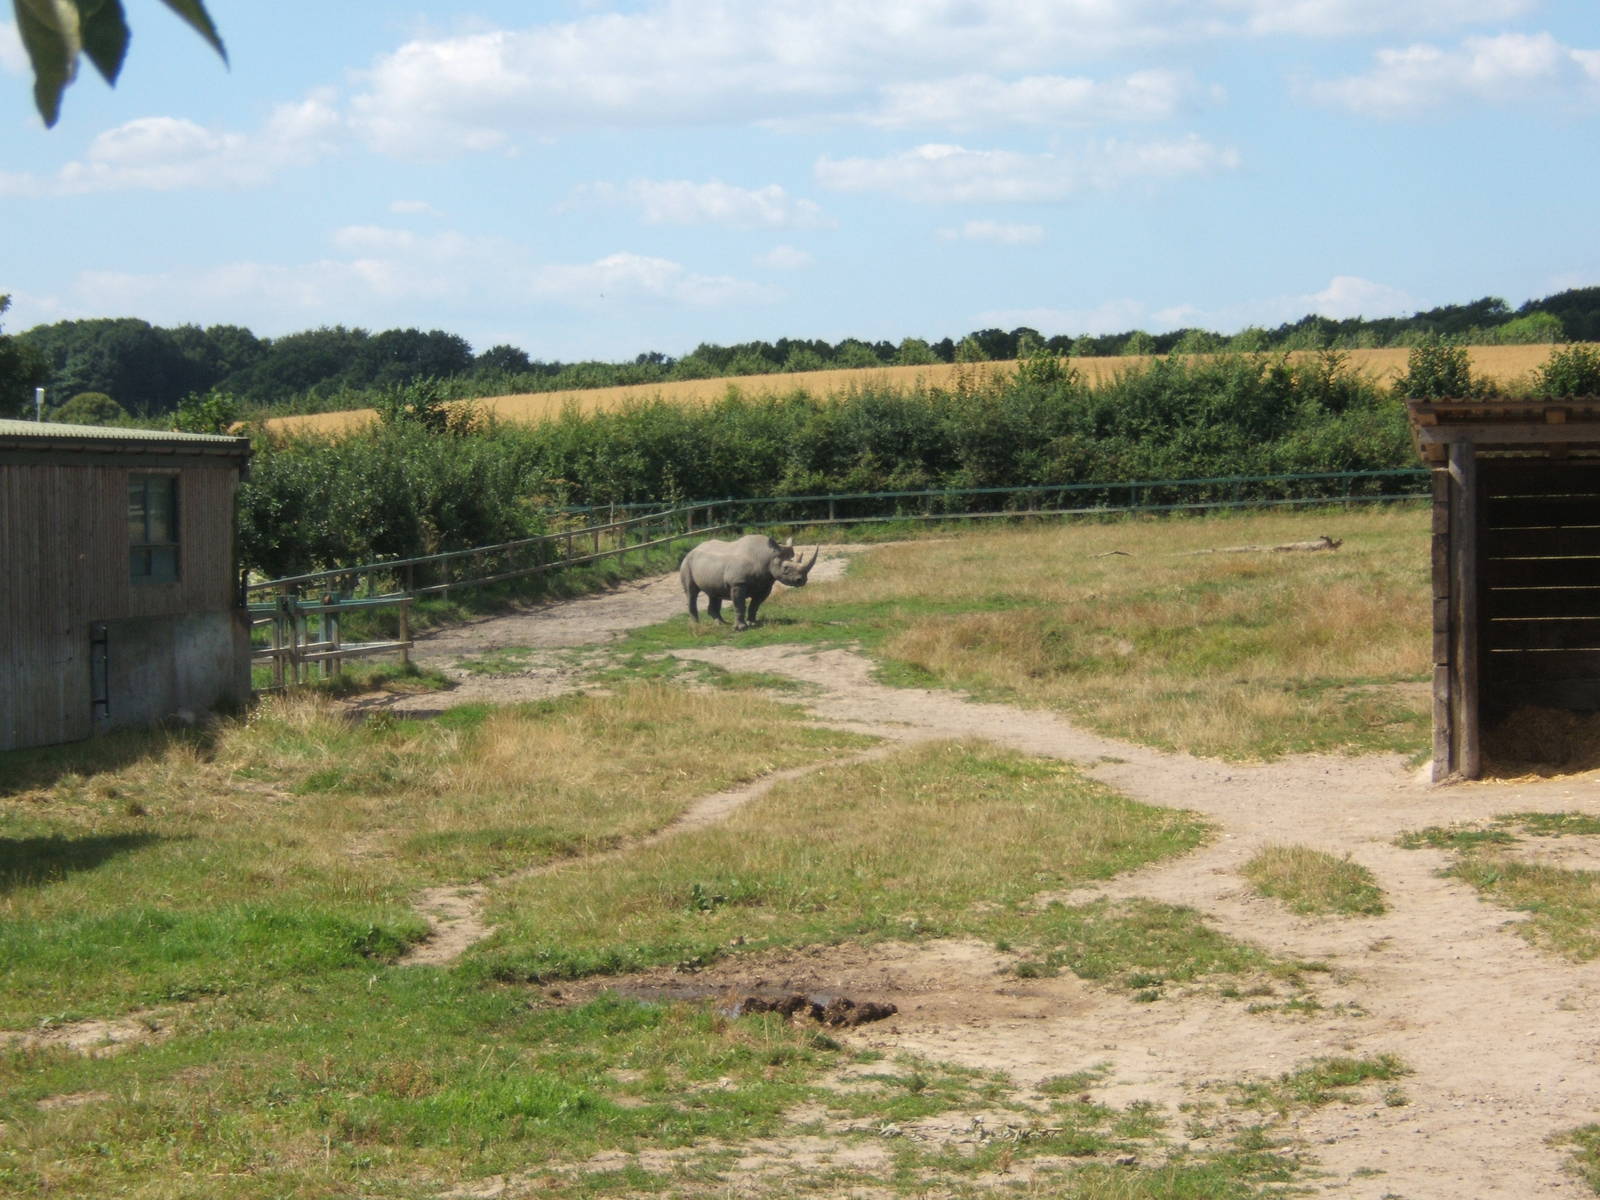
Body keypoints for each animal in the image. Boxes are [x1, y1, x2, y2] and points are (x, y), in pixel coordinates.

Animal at [680, 534, 819, 630]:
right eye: (786, 568)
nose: (802, 580)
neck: (766, 556)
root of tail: (693, 549)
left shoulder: (765, 584)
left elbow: (755, 605)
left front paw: (753, 623)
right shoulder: (738, 583)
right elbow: (739, 604)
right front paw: (741, 628)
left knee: (714, 593)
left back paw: (721, 623)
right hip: (687, 563)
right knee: (691, 592)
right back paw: (696, 625)